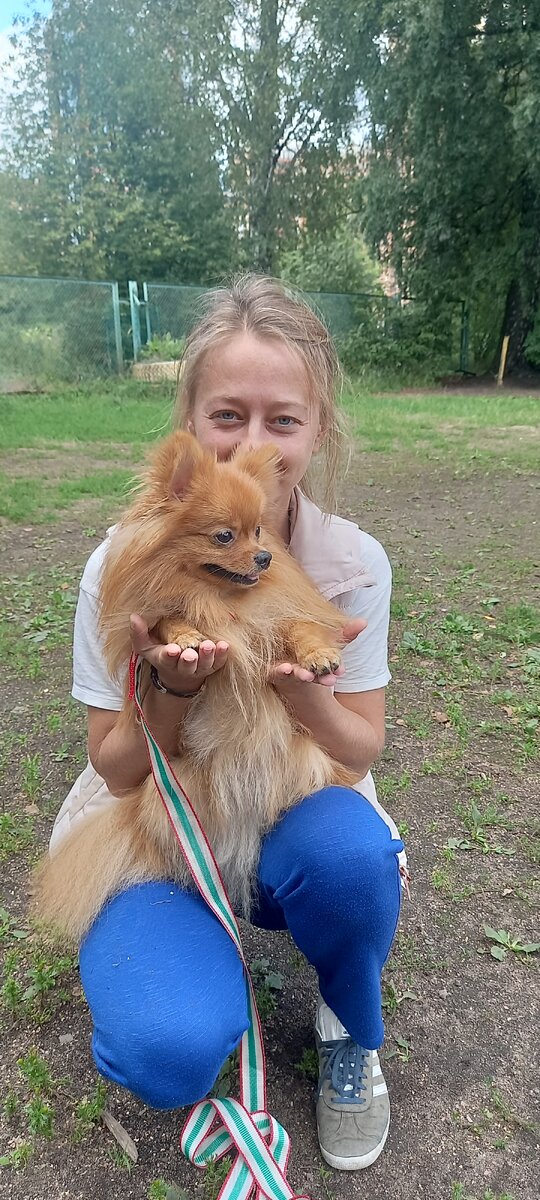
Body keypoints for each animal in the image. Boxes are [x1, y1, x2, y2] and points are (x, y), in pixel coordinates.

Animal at [34, 431, 359, 942]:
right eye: (225, 536)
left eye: (259, 532)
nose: (265, 557)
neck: (220, 599)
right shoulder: (152, 615)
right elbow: (169, 619)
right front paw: (188, 635)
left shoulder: (276, 615)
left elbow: (299, 630)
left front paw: (317, 656)